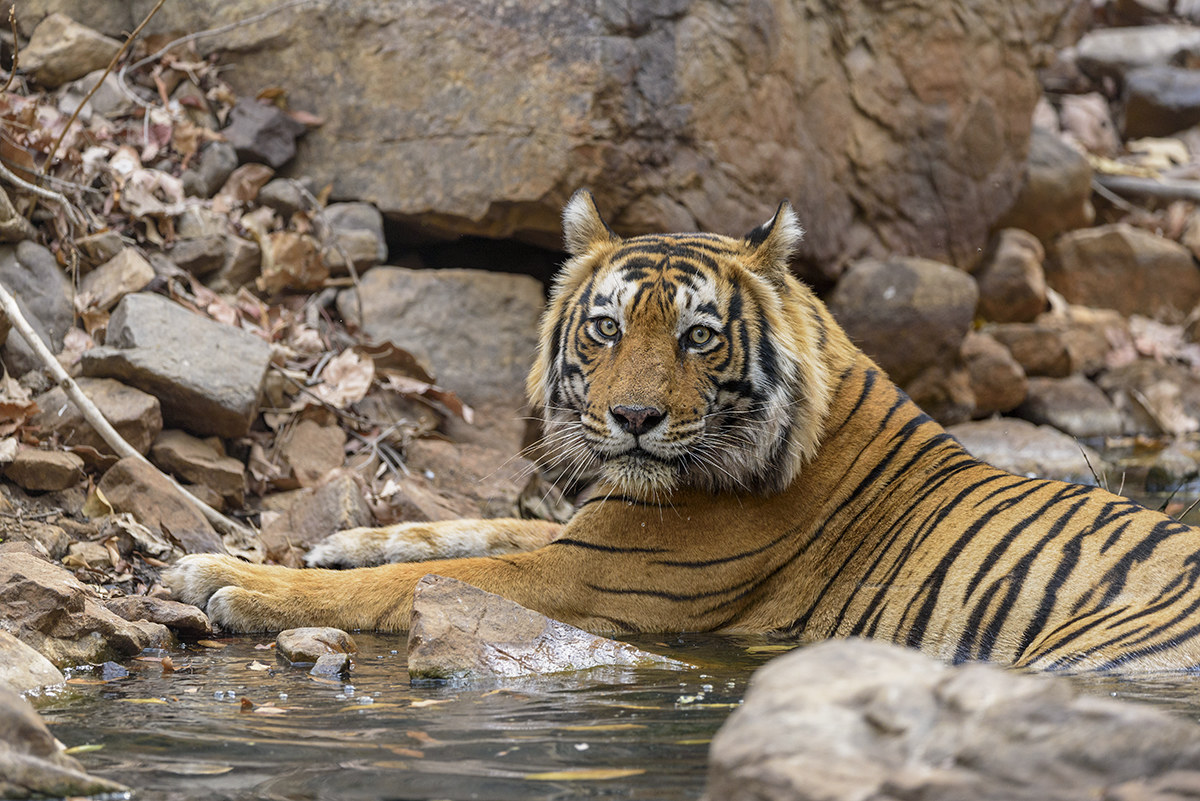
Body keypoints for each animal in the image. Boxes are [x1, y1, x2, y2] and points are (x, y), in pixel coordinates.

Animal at [167, 190, 1200, 673]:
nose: (633, 418)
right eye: (606, 327)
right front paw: (339, 539)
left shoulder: (588, 574)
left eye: (700, 337)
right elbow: (465, 528)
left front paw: (226, 578)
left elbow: (420, 579)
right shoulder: (592, 524)